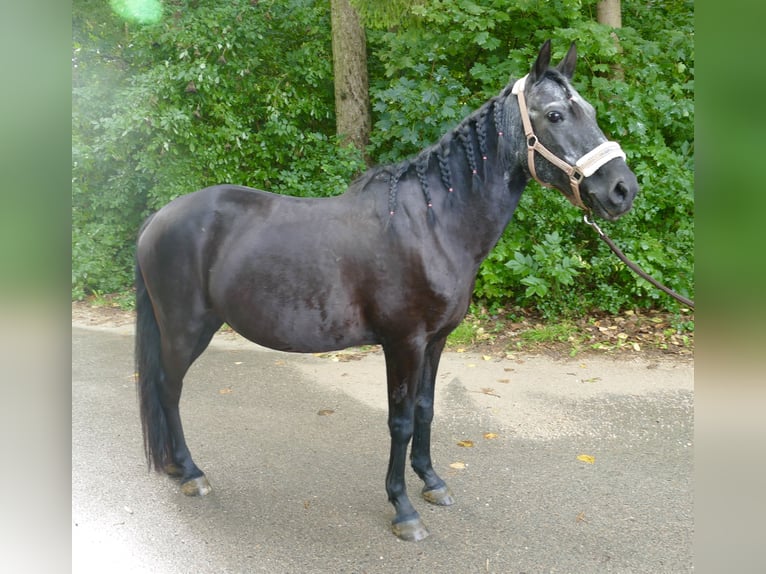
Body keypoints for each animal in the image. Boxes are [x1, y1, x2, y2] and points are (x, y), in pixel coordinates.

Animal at [134, 40, 638, 542]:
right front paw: (403, 508)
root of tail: (157, 219)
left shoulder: (435, 342)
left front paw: (431, 482)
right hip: (186, 329)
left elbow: (426, 410)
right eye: (554, 114)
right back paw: (190, 472)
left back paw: (178, 469)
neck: (432, 224)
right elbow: (400, 421)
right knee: (167, 387)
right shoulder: (403, 343)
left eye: (590, 110)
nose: (622, 190)